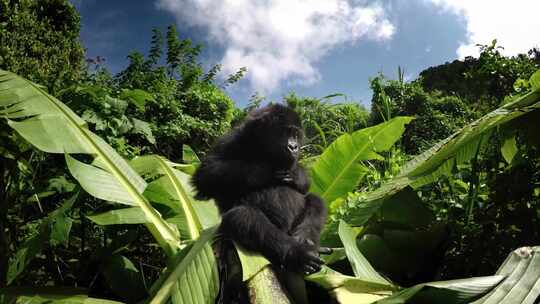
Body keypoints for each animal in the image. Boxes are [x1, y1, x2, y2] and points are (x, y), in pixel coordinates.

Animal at [193, 104, 330, 274]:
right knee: (242, 216)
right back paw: (297, 253)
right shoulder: (231, 139)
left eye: (296, 134)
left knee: (316, 200)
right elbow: (205, 175)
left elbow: (305, 187)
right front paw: (265, 171)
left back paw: (305, 241)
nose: (294, 146)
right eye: (284, 132)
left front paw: (296, 174)